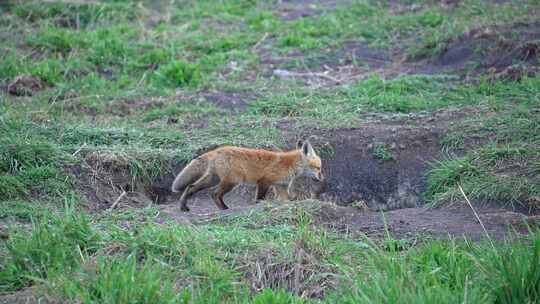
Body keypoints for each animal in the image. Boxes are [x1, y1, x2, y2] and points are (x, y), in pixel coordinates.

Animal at [171, 140, 322, 211]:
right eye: (318, 168)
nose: (321, 179)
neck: (290, 165)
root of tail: (217, 150)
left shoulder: (281, 186)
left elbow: (285, 200)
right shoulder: (264, 182)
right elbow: (259, 198)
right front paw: (258, 205)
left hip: (213, 179)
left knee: (191, 187)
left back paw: (183, 206)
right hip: (231, 182)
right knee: (214, 194)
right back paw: (224, 209)